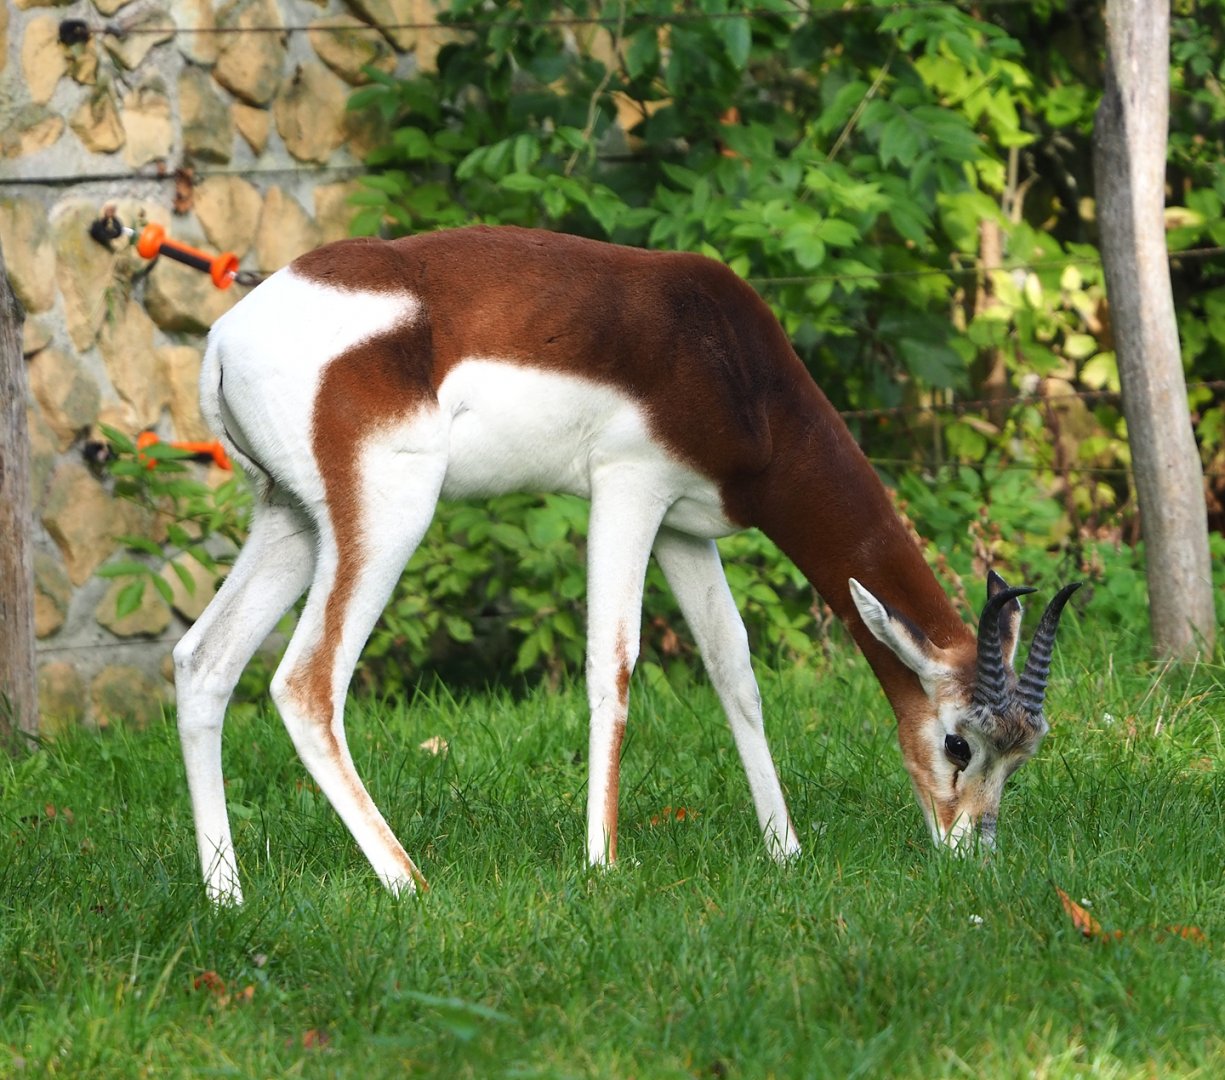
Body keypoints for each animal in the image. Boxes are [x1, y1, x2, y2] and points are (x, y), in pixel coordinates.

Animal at [173, 225, 1080, 903]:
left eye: (1022, 755)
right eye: (958, 744)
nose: (969, 854)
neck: (734, 367)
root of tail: (222, 338)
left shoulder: (686, 528)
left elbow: (734, 673)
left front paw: (784, 850)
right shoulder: (627, 488)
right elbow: (613, 665)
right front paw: (603, 861)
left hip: (291, 521)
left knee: (202, 660)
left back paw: (227, 895)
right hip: (386, 517)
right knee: (306, 681)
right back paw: (407, 882)